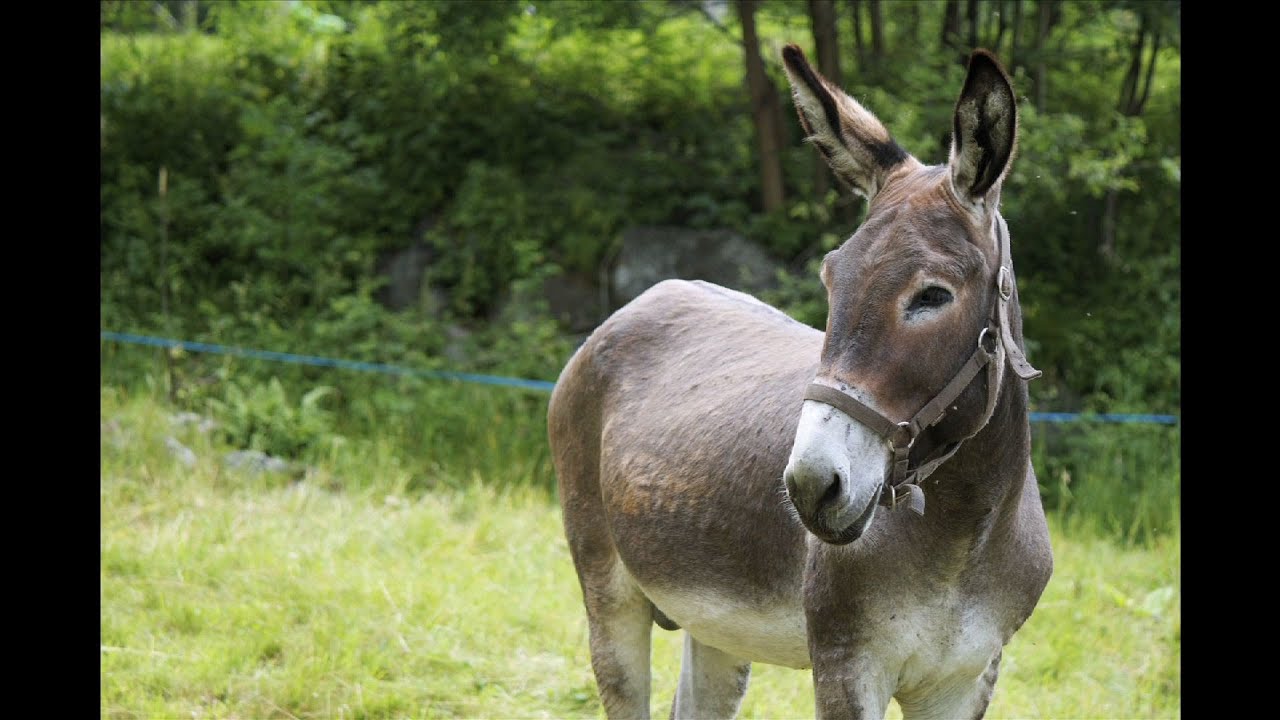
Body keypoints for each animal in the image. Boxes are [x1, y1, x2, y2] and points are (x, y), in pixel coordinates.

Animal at [547, 44, 1053, 720]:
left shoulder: (967, 679)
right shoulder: (848, 664)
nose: (812, 485)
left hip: (715, 624)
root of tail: (645, 298)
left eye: (933, 296)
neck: (962, 533)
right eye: (831, 279)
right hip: (607, 586)